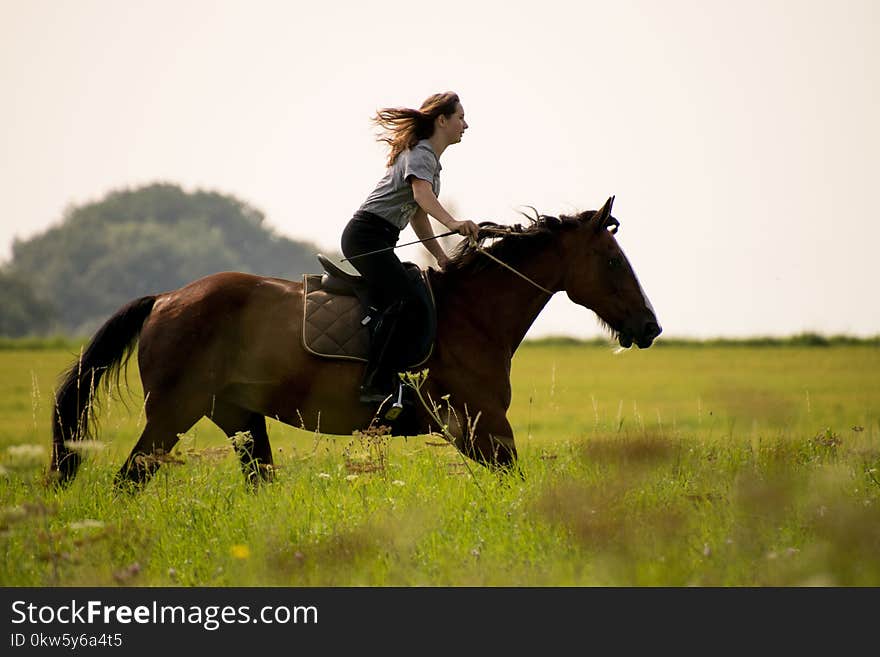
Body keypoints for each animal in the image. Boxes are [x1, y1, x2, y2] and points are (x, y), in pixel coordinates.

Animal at [49, 197, 660, 490]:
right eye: (612, 261)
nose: (650, 326)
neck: (473, 313)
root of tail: (167, 298)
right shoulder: (483, 426)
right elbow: (517, 485)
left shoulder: (480, 431)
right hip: (174, 413)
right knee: (128, 481)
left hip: (239, 418)